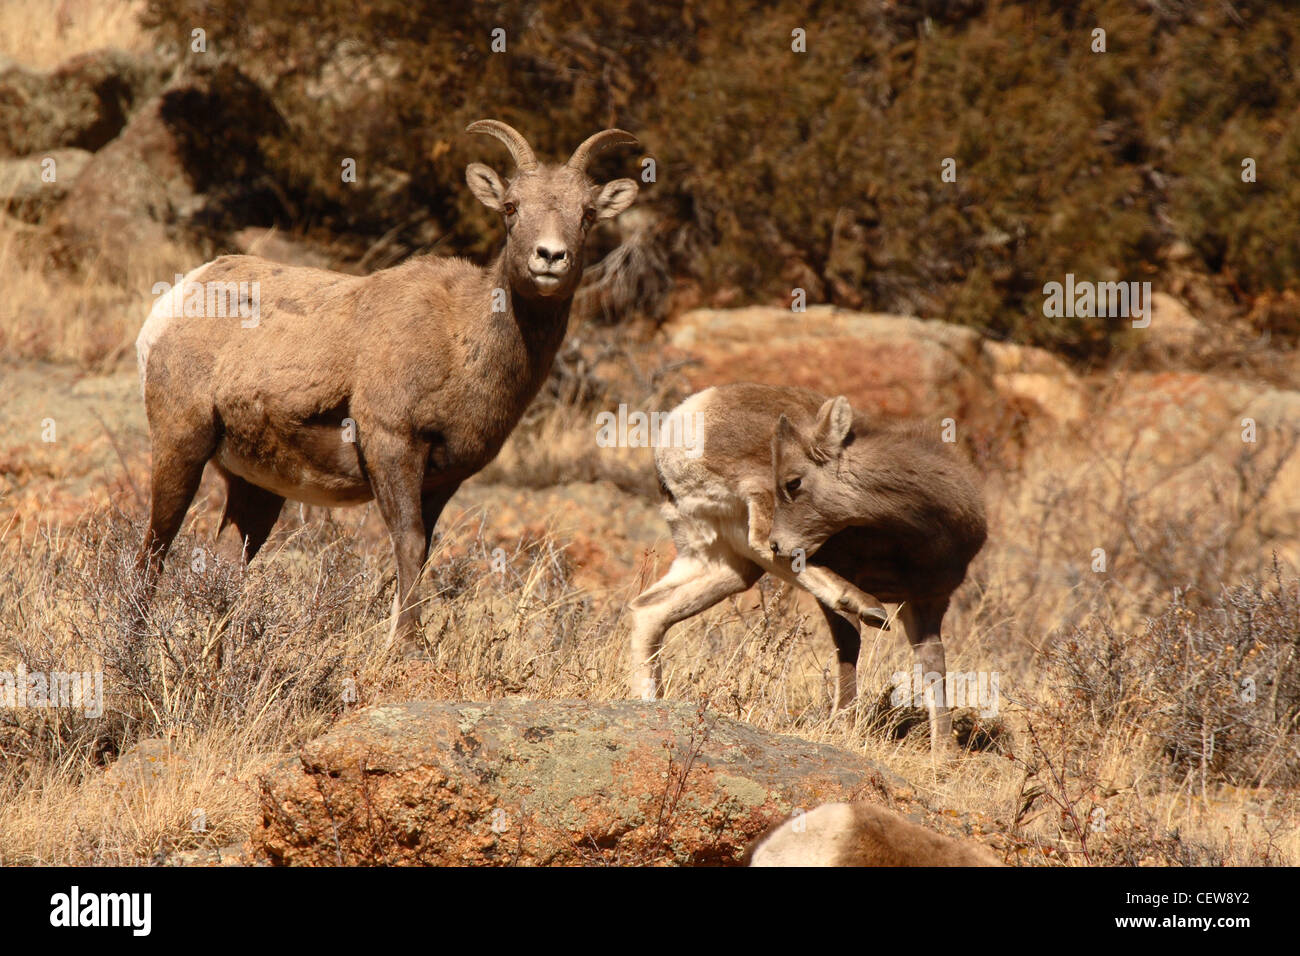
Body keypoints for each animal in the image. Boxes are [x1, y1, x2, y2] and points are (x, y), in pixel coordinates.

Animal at [629, 385, 982, 759]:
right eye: (792, 482)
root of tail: (683, 420)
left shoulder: (928, 603)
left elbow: (933, 665)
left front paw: (944, 754)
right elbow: (849, 645)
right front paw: (843, 725)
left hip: (724, 564)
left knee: (649, 611)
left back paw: (649, 701)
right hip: (757, 512)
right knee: (763, 543)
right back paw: (865, 604)